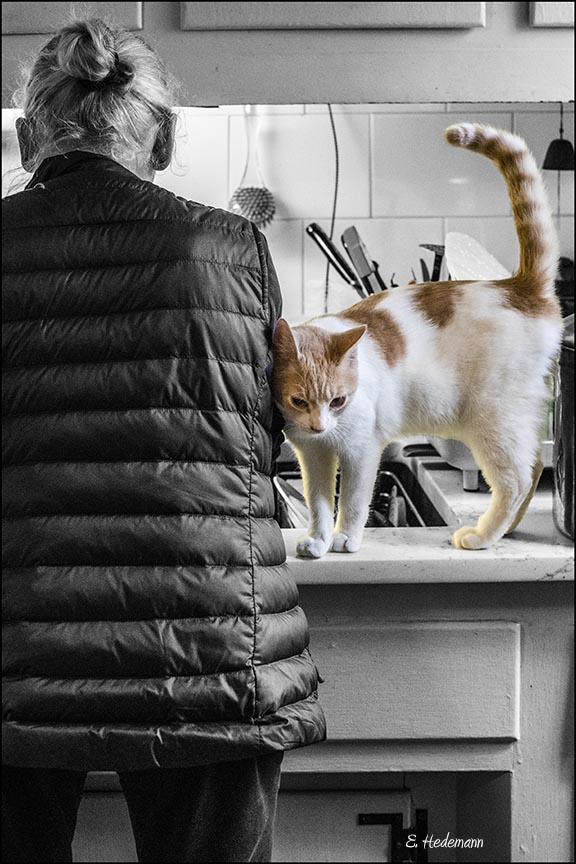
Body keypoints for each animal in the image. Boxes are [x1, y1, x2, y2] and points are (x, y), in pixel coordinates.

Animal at [274, 123, 564, 560]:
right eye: (298, 401)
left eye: (339, 400)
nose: (320, 424)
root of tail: (518, 286)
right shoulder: (314, 455)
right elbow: (319, 502)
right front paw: (318, 541)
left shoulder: (361, 449)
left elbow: (353, 500)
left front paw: (347, 540)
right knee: (531, 468)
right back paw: (505, 530)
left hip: (492, 417)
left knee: (515, 477)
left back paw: (481, 536)